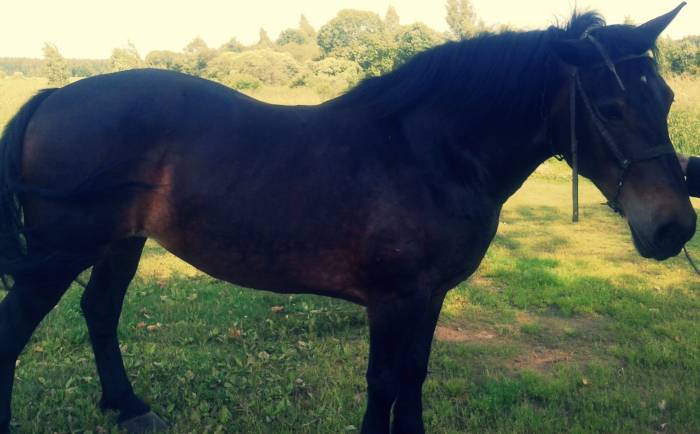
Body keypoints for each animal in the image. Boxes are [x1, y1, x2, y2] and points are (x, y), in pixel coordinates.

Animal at [0, 4, 694, 433]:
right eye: (608, 106)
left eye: (665, 98)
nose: (675, 228)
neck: (428, 154)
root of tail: (52, 97)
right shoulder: (392, 300)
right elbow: (383, 382)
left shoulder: (429, 296)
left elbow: (413, 375)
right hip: (61, 254)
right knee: (18, 328)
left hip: (121, 242)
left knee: (99, 311)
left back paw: (128, 406)